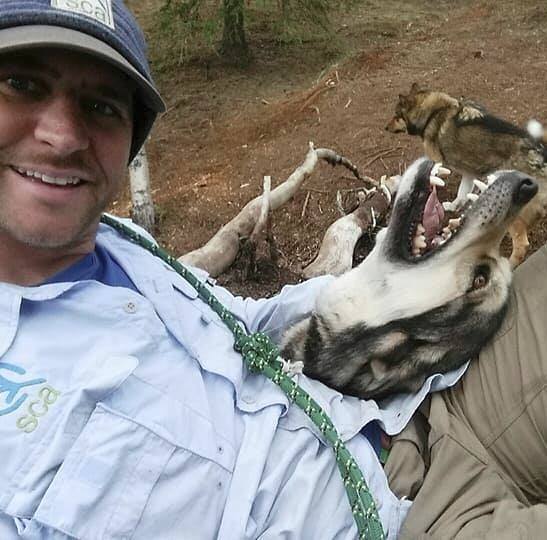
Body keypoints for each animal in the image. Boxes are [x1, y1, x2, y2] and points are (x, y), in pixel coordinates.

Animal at [388, 83, 544, 268]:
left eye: (396, 115)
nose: (386, 127)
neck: (433, 112)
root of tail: (539, 155)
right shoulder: (468, 173)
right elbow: (462, 193)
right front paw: (454, 206)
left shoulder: (436, 163)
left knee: (522, 245)